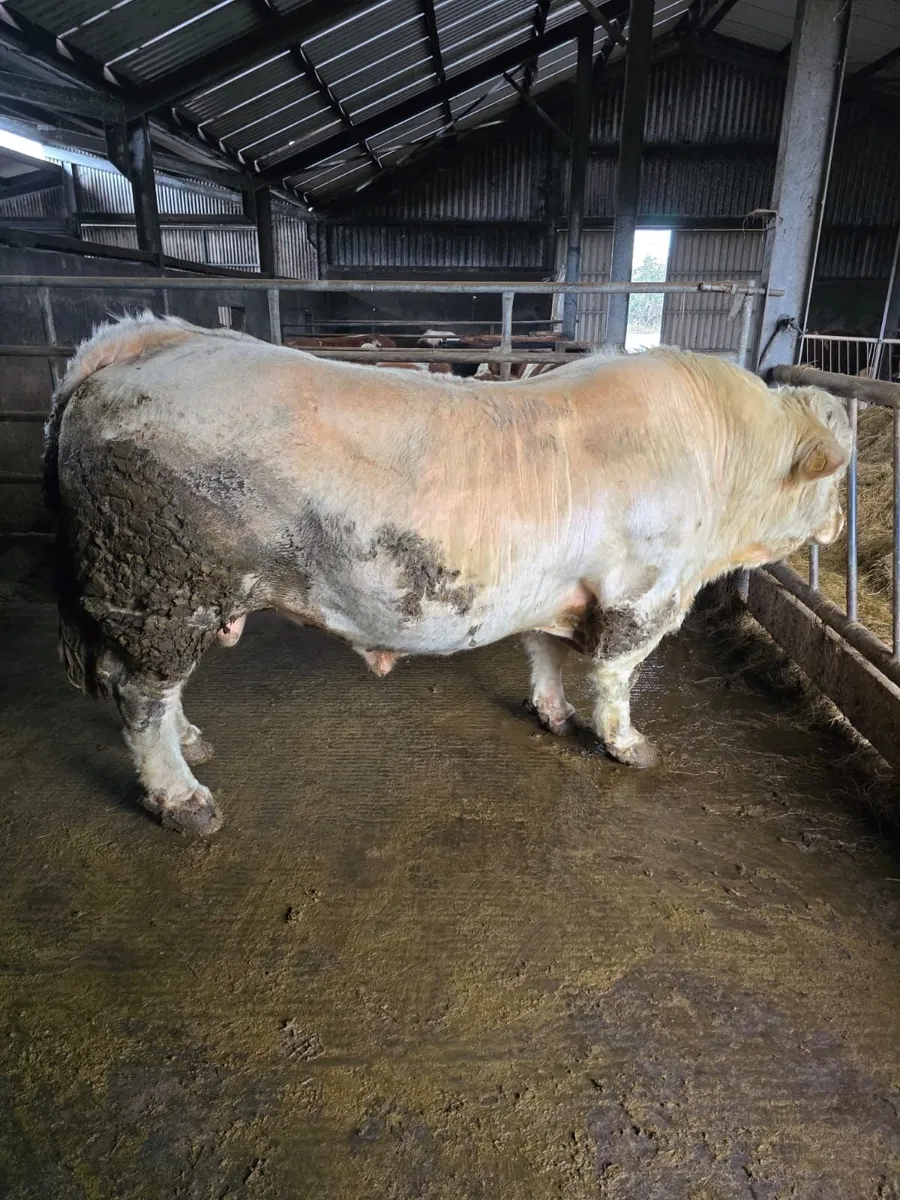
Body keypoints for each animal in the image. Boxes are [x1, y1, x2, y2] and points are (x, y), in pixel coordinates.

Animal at [44, 314, 852, 836]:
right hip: (159, 581)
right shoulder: (643, 592)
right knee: (142, 696)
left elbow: (546, 651)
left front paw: (552, 713)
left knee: (156, 687)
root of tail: (149, 341)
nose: (842, 523)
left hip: (172, 594)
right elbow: (616, 676)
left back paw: (193, 740)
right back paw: (185, 801)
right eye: (837, 473)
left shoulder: (558, 587)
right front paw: (628, 745)